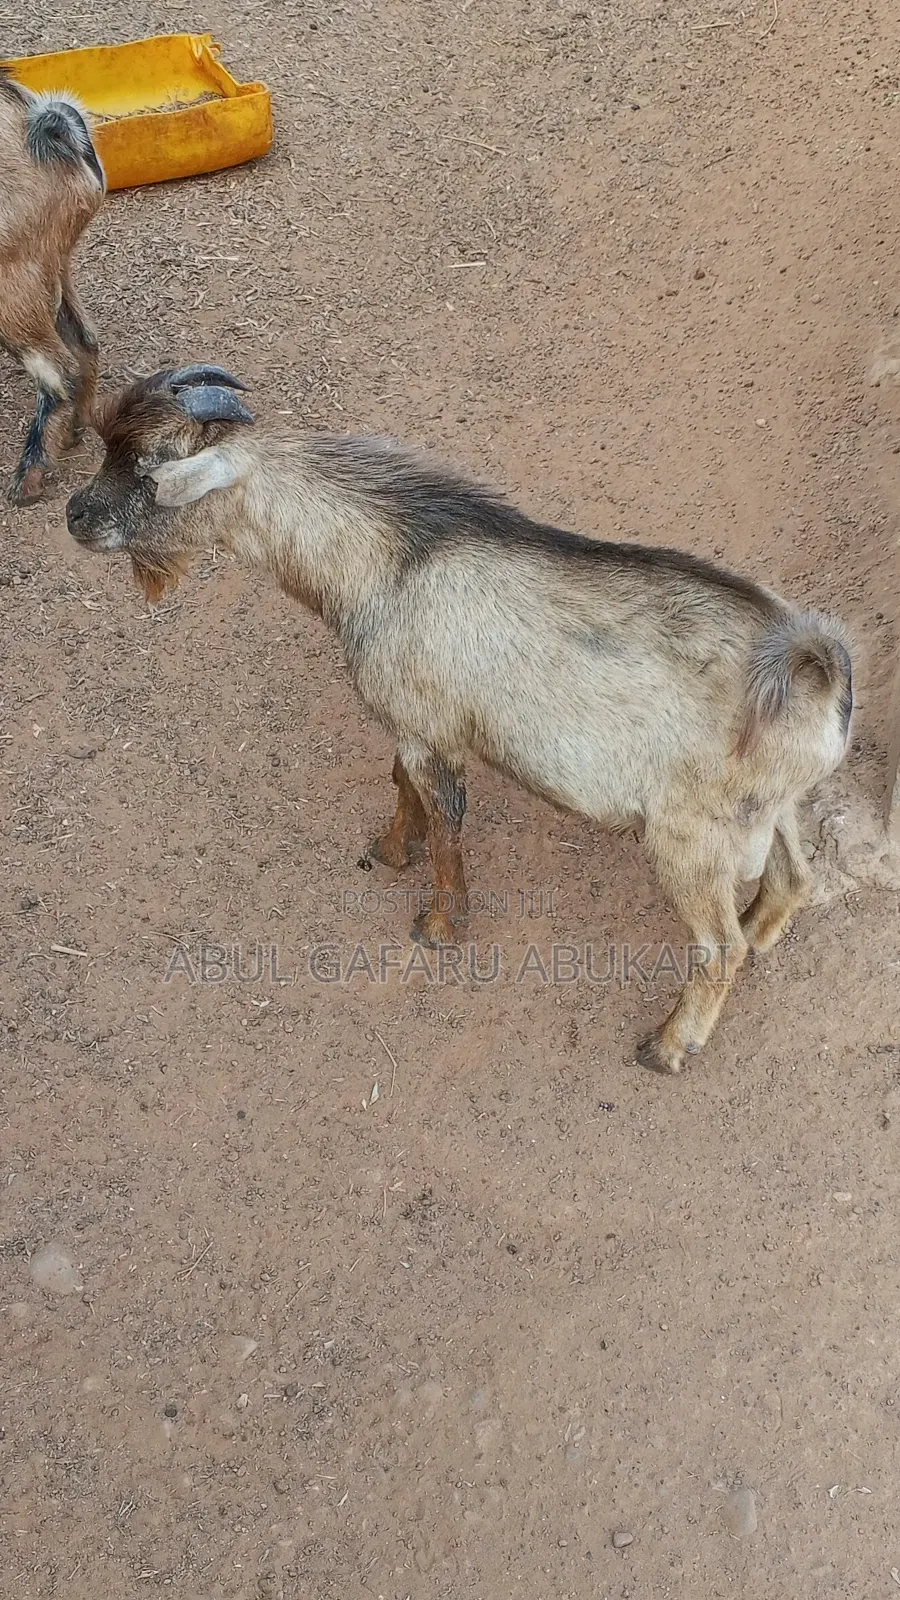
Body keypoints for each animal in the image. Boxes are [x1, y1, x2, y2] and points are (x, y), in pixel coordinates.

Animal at [66, 365, 854, 1076]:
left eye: (150, 467)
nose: (75, 515)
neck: (386, 562)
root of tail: (816, 668)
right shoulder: (414, 725)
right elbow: (401, 789)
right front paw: (390, 852)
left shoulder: (427, 730)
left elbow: (442, 818)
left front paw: (439, 925)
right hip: (769, 811)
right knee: (791, 883)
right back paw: (756, 934)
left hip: (689, 840)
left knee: (719, 948)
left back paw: (669, 1045)